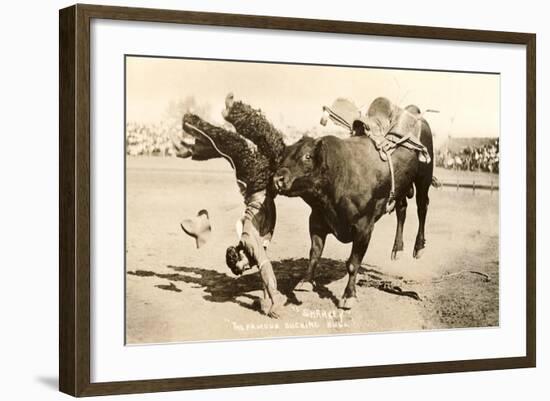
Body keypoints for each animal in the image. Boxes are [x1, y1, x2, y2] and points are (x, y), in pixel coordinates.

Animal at [177, 94, 440, 312]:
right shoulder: (317, 219)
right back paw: (397, 249)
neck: (337, 179)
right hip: (402, 187)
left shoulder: (364, 227)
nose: (277, 179)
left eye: (306, 157)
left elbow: (353, 263)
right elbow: (315, 252)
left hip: (424, 178)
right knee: (402, 209)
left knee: (422, 207)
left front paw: (348, 296)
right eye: (283, 156)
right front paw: (305, 281)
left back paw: (418, 247)